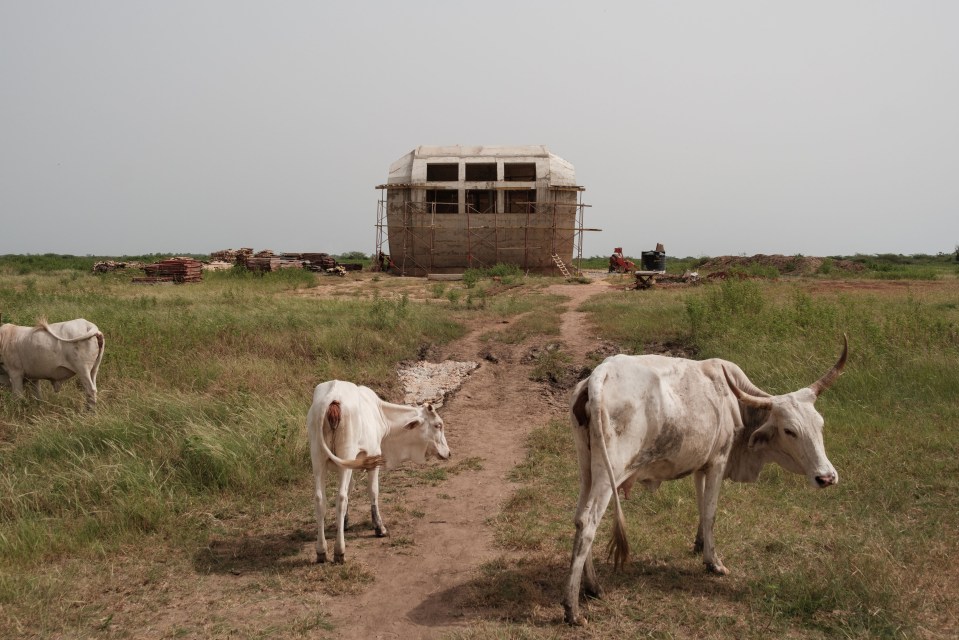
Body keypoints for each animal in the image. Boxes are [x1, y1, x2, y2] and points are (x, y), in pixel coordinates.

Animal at [310, 380, 456, 564]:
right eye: (438, 425)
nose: (448, 453)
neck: (380, 414)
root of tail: (332, 397)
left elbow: (351, 488)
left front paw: (344, 523)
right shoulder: (373, 458)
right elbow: (373, 492)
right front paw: (379, 528)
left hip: (317, 459)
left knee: (320, 500)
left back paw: (321, 551)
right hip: (345, 455)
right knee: (341, 498)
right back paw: (339, 551)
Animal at [564, 338, 848, 628]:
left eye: (820, 424)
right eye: (790, 430)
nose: (826, 477)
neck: (735, 403)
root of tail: (601, 373)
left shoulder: (701, 466)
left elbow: (702, 507)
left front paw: (700, 544)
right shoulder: (718, 462)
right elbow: (711, 513)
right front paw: (713, 562)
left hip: (587, 470)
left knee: (579, 518)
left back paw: (592, 587)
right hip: (608, 473)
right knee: (589, 523)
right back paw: (573, 608)